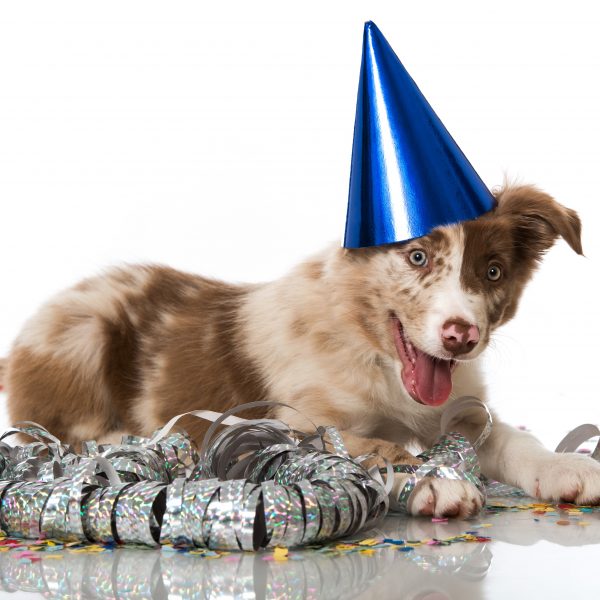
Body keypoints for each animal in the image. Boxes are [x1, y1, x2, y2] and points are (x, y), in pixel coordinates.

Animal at [1, 183, 600, 516]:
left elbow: (512, 439)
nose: (462, 336)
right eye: (417, 258)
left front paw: (565, 466)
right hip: (82, 329)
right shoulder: (287, 423)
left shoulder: (464, 409)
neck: (377, 356)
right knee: (61, 430)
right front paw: (430, 477)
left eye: (492, 271)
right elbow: (364, 446)